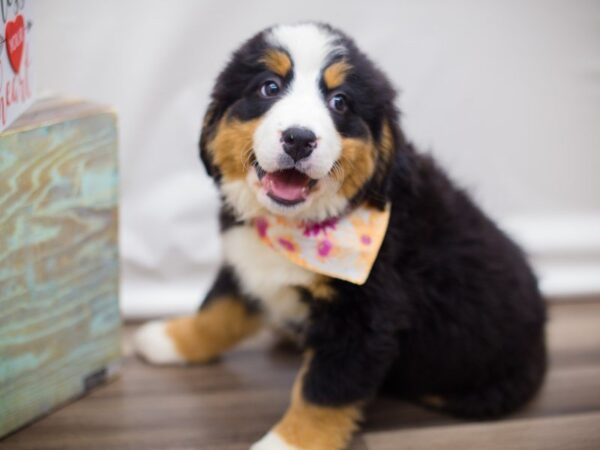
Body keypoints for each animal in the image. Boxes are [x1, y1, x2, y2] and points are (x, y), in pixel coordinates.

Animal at [134, 22, 548, 450]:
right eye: (269, 87)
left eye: (340, 102)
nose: (299, 139)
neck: (296, 226)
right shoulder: (246, 262)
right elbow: (218, 310)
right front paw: (172, 338)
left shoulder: (364, 317)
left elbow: (323, 390)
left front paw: (287, 442)